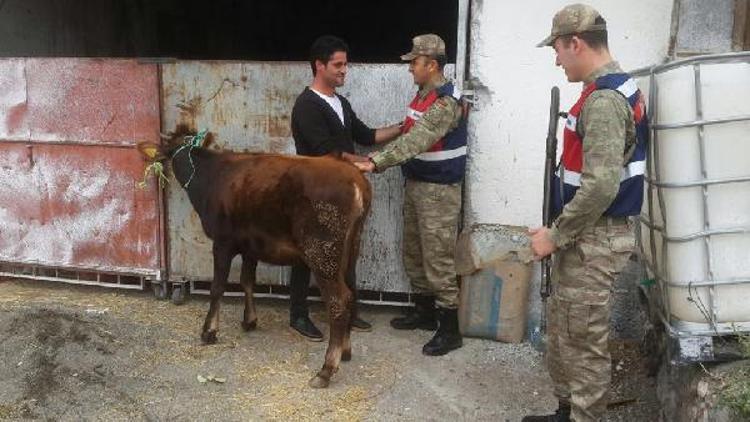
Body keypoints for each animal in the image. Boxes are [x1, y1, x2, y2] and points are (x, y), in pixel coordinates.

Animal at [138, 123, 374, 388]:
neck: (209, 177)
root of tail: (353, 176)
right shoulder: (251, 246)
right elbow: (247, 280)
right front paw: (249, 320)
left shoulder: (222, 242)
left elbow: (217, 287)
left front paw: (209, 331)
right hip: (351, 248)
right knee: (352, 292)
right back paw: (345, 350)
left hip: (322, 251)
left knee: (339, 301)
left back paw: (326, 369)